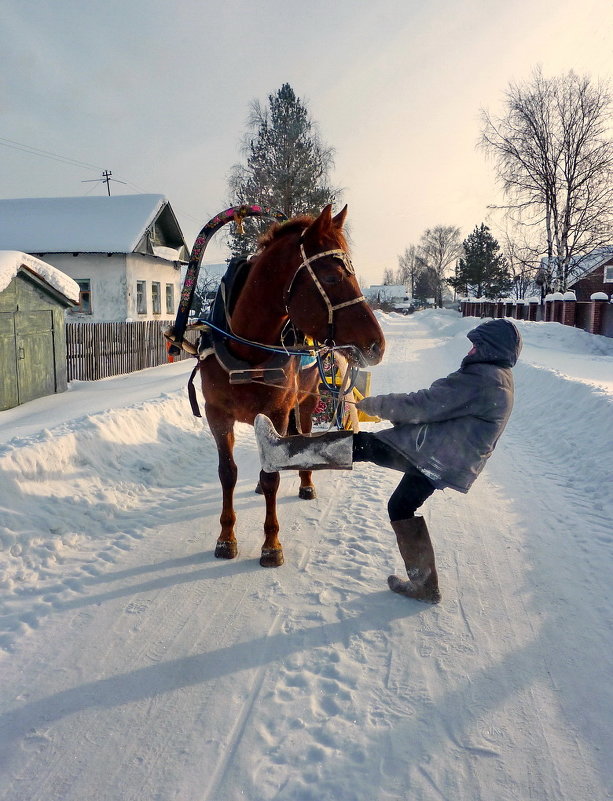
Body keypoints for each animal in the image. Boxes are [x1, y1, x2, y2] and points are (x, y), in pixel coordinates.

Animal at [200, 206, 382, 568]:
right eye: (333, 278)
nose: (377, 345)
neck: (247, 353)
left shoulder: (278, 412)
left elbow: (272, 475)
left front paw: (271, 545)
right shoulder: (218, 416)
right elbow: (227, 473)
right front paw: (226, 537)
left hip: (306, 403)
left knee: (304, 434)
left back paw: (306, 484)